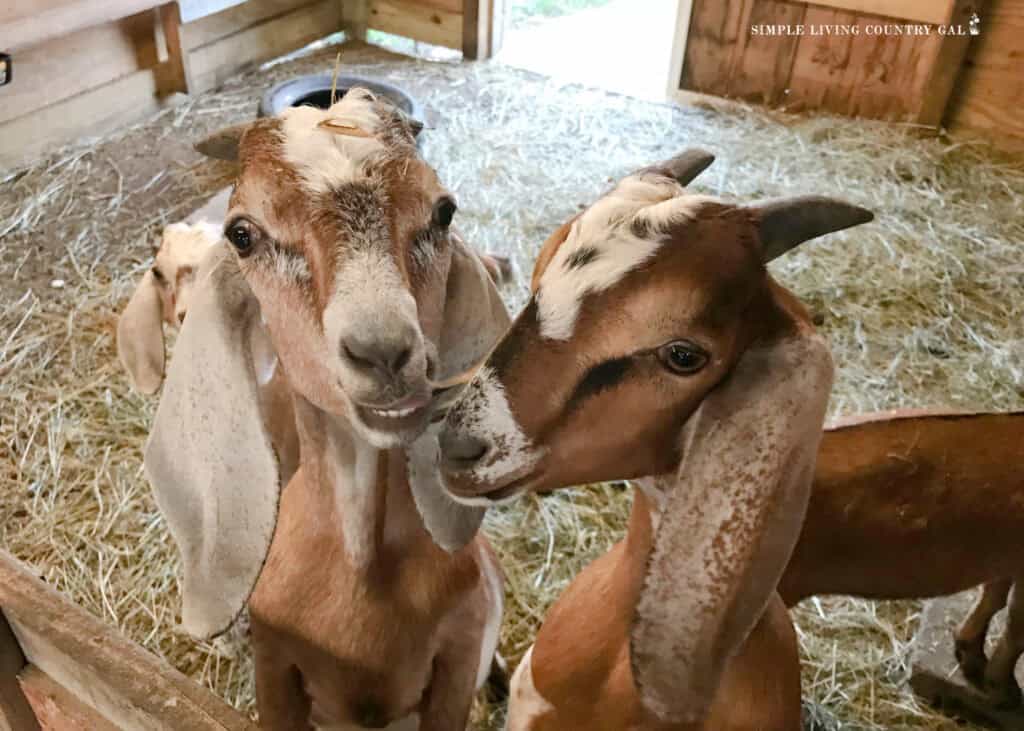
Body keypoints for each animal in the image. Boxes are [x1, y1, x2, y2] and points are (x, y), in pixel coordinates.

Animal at [143, 89, 510, 730]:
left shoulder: (461, 650)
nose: (384, 351)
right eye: (242, 233)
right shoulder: (275, 663)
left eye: (443, 211)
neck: (363, 576)